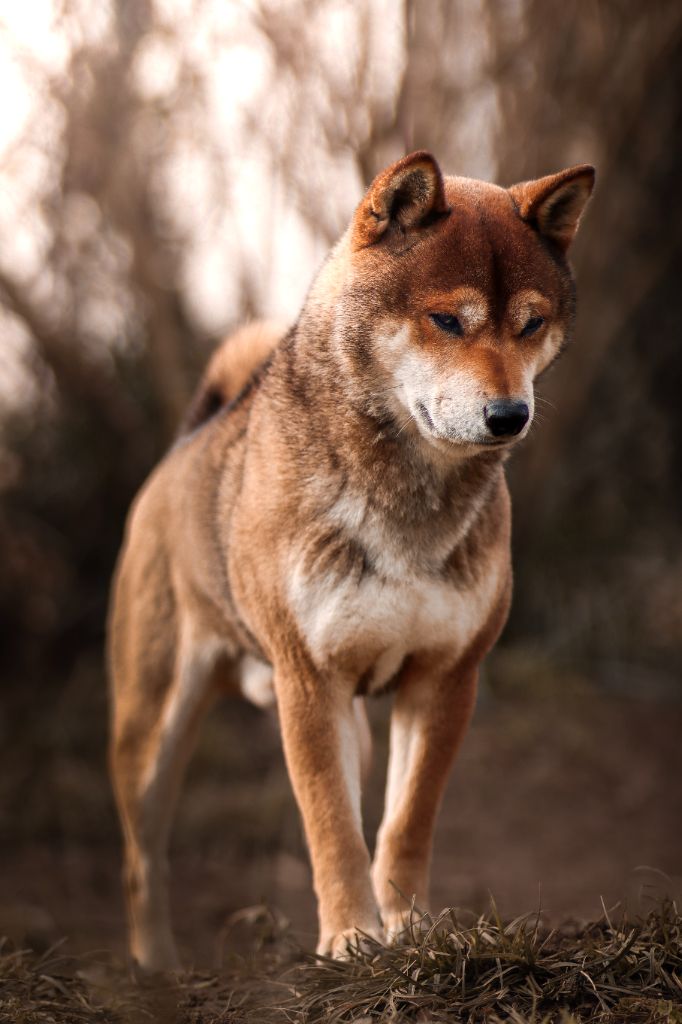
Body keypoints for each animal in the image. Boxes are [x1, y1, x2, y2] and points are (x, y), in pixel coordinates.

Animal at [106, 149, 589, 966]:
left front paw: (412, 928)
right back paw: (154, 970)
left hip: (355, 731)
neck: (407, 504)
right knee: (142, 860)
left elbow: (403, 821)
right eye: (447, 320)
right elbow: (331, 825)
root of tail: (190, 438)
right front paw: (352, 939)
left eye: (531, 324)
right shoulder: (310, 680)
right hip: (154, 727)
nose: (510, 415)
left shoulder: (445, 678)